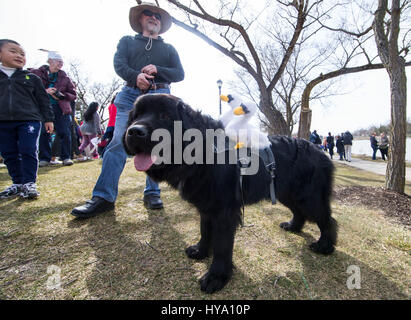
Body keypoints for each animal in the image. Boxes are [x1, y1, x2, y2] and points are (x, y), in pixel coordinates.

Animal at [122, 94, 338, 294]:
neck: (203, 152)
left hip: (308, 197)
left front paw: (216, 277)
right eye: (136, 115)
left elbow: (222, 245)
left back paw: (324, 246)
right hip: (287, 193)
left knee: (328, 220)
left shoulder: (224, 211)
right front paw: (200, 251)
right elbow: (205, 230)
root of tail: (320, 151)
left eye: (165, 116)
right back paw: (293, 227)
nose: (134, 131)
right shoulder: (207, 206)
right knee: (300, 212)